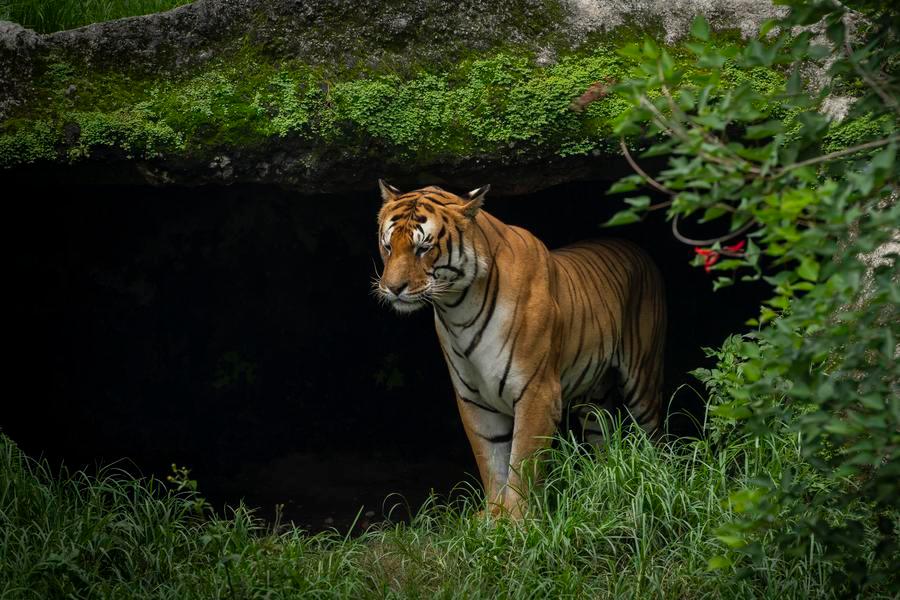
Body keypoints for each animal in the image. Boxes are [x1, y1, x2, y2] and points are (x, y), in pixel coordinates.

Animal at [374, 180, 667, 519]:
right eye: (388, 246)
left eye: (423, 248)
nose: (393, 288)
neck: (458, 308)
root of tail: (634, 246)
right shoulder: (473, 399)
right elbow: (491, 461)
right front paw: (492, 517)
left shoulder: (537, 392)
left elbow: (522, 462)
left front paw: (517, 520)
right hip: (594, 397)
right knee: (602, 438)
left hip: (642, 378)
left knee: (652, 435)